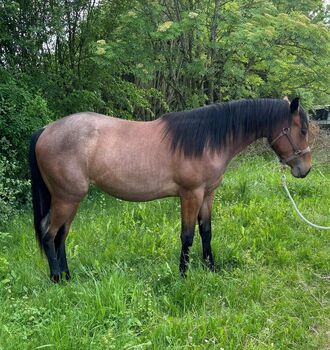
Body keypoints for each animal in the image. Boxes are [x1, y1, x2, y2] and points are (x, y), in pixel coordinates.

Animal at [29, 97, 312, 284]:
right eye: (302, 129)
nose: (306, 169)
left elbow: (206, 232)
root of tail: (46, 130)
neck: (207, 139)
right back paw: (57, 279)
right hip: (66, 198)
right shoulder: (191, 194)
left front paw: (210, 268)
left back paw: (67, 276)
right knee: (49, 234)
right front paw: (183, 275)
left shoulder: (208, 194)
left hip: (71, 200)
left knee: (61, 236)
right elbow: (187, 236)